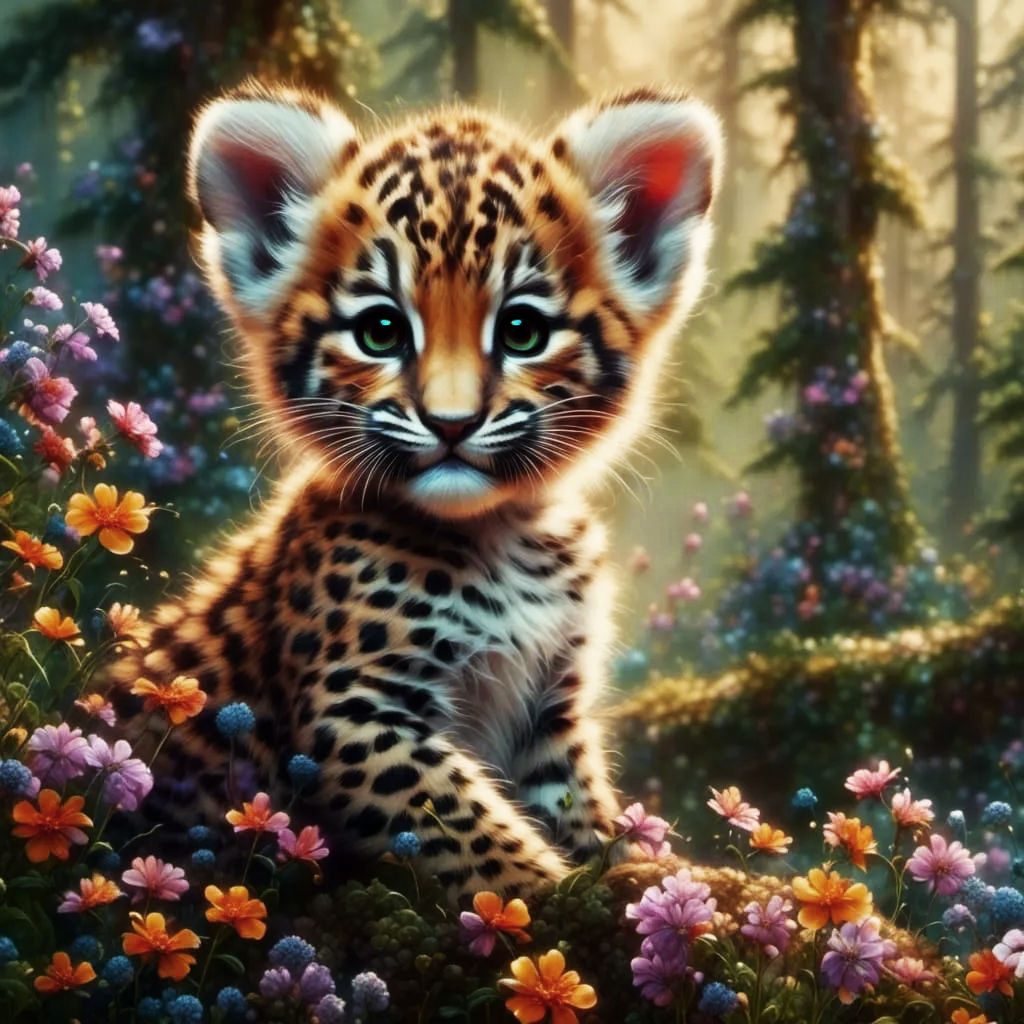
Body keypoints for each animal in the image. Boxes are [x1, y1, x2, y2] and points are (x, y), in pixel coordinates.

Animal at [110, 81, 722, 902]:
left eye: (522, 330)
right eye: (380, 330)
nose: (452, 422)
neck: (507, 537)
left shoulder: (548, 712)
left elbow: (582, 810)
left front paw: (650, 874)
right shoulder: (354, 709)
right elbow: (472, 832)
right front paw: (545, 896)